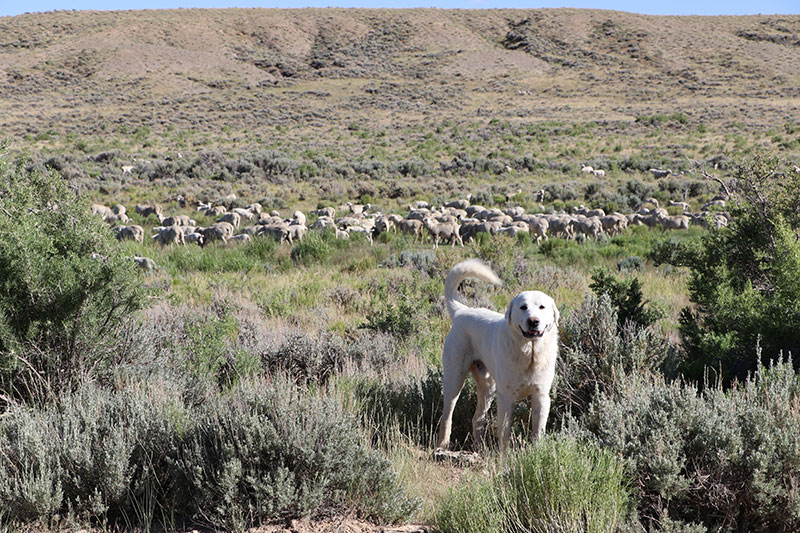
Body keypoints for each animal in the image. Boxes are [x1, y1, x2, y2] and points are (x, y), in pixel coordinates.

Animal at [434, 258, 560, 448]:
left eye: (542, 307)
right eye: (523, 307)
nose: (533, 321)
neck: (529, 355)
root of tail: (462, 311)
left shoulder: (541, 396)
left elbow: (538, 431)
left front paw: (537, 450)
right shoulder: (506, 397)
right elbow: (504, 432)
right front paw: (504, 454)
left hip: (488, 387)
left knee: (477, 418)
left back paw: (479, 446)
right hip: (454, 380)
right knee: (447, 416)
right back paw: (443, 444)